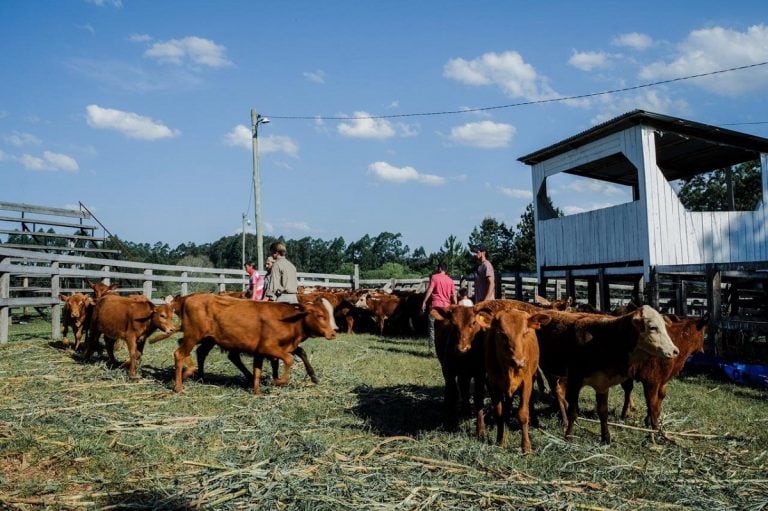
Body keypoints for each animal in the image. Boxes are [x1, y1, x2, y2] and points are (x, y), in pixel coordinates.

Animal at [174, 292, 336, 396]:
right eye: (320, 315)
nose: (333, 333)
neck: (289, 320)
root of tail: (188, 298)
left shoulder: (265, 351)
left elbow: (260, 369)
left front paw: (257, 391)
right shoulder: (268, 348)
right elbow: (289, 359)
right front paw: (277, 381)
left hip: (209, 339)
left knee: (201, 352)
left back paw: (201, 377)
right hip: (193, 335)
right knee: (179, 353)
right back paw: (180, 385)